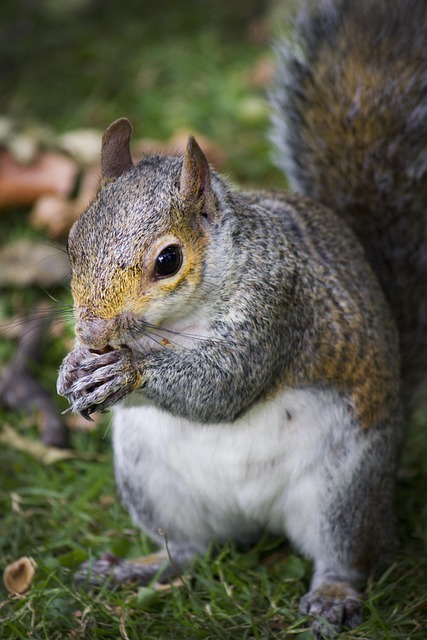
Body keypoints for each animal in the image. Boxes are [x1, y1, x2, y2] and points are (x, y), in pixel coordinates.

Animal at [57, 0, 427, 635]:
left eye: (168, 260)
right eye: (73, 242)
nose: (94, 332)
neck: (177, 325)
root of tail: (257, 515)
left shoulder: (279, 303)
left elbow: (226, 385)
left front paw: (126, 372)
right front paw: (73, 367)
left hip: (345, 490)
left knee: (348, 555)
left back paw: (332, 596)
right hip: (150, 477)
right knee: (188, 548)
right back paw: (131, 568)